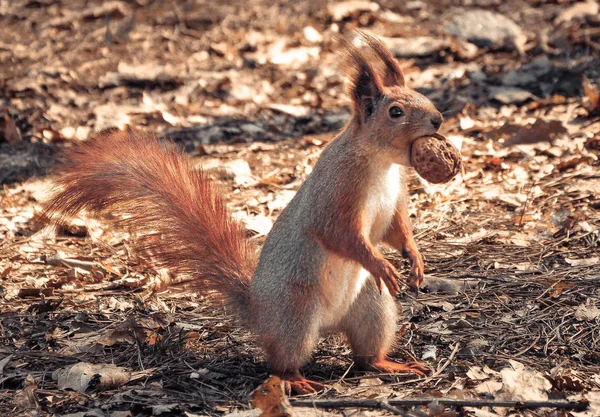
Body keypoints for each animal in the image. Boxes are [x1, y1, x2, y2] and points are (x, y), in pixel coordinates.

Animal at [42, 33, 442, 394]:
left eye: (423, 96)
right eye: (395, 112)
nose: (438, 119)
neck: (380, 164)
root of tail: (259, 311)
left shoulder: (394, 200)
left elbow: (395, 231)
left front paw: (415, 259)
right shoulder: (335, 194)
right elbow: (340, 235)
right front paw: (381, 264)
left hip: (372, 307)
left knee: (365, 356)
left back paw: (391, 365)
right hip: (296, 313)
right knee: (281, 361)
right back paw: (297, 381)